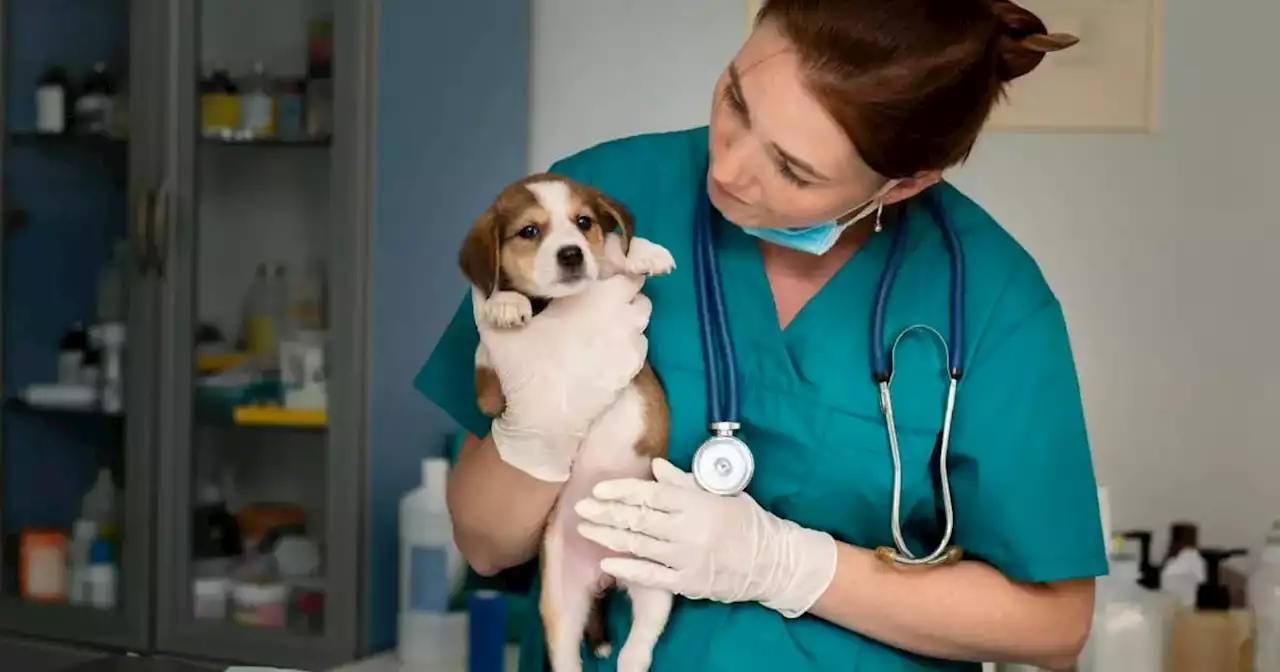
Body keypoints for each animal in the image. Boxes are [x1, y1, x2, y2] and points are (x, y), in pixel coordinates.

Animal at [460, 172, 680, 670]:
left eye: (583, 223)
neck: (553, 306)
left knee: (639, 644)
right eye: (528, 231)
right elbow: (487, 341)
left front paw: (641, 252)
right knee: (566, 655)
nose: (572, 254)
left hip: (656, 585)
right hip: (559, 600)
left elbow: (614, 253)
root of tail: (605, 575)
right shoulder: (488, 394)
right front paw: (503, 303)